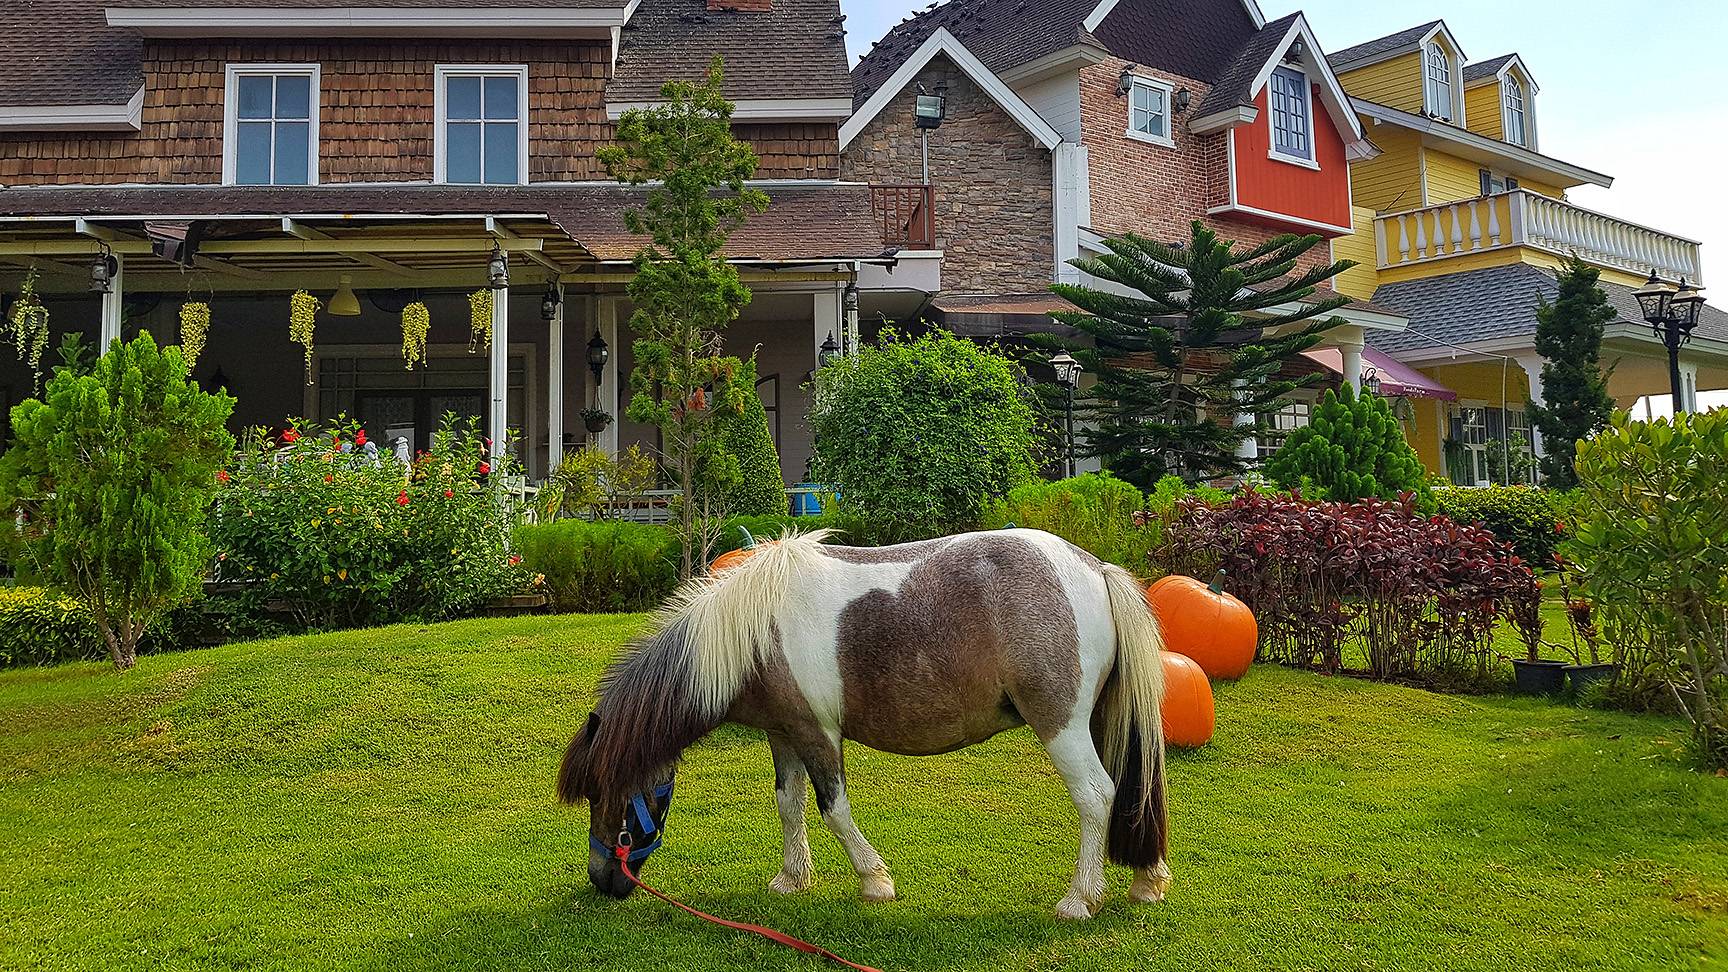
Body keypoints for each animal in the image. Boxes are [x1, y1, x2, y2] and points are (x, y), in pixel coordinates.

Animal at [556, 528, 1170, 920]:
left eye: (601, 792)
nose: (603, 881)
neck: (753, 634)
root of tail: (1094, 568)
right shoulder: (784, 734)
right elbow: (789, 803)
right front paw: (792, 879)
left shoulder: (817, 733)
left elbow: (834, 808)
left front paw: (874, 881)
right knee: (1127, 790)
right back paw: (1146, 880)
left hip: (1061, 725)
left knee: (1096, 795)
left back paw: (1080, 899)